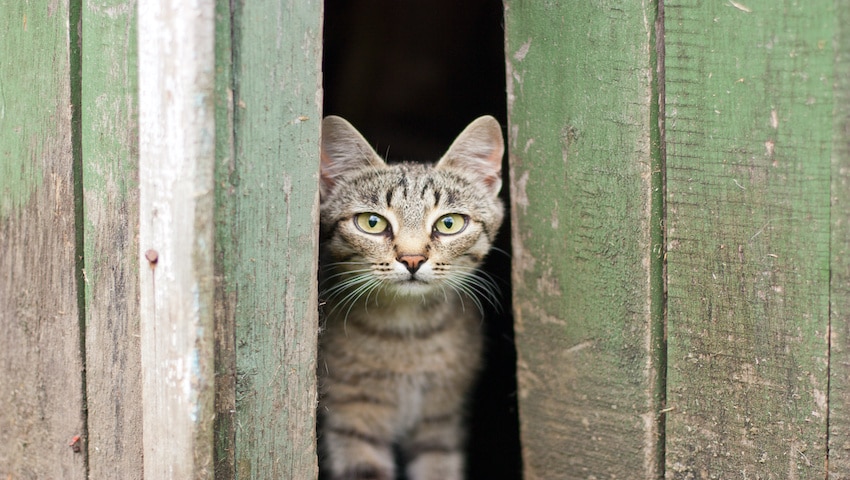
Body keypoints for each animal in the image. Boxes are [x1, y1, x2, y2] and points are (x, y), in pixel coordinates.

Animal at [316, 113, 504, 480]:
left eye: (449, 223)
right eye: (372, 222)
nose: (413, 258)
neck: (408, 332)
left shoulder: (441, 419)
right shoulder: (350, 418)